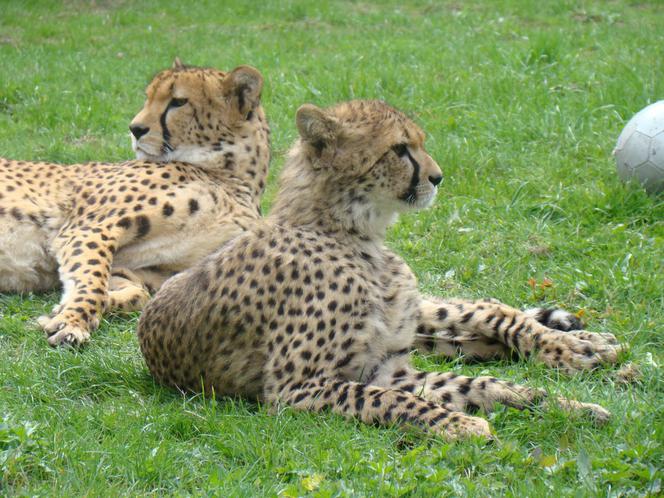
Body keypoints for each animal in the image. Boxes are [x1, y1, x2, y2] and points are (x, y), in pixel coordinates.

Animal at [0, 58, 270, 346]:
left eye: (178, 102)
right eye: (148, 97)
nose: (135, 129)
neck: (231, 178)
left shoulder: (144, 270)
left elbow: (138, 294)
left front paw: (66, 310)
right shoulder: (89, 229)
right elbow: (94, 280)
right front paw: (73, 320)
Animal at [137, 100, 624, 440]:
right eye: (400, 150)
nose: (438, 177)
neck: (355, 236)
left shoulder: (388, 367)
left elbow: (476, 384)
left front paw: (558, 404)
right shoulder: (303, 387)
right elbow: (389, 398)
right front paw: (462, 424)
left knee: (487, 309)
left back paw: (584, 344)